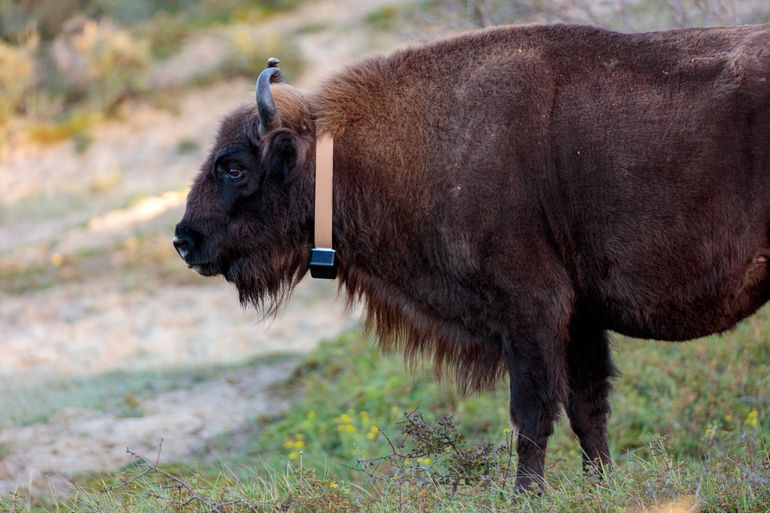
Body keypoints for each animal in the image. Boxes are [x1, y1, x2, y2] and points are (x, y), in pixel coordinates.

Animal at [174, 23, 768, 488]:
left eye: (233, 166)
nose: (184, 240)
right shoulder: (579, 317)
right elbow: (587, 407)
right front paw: (600, 485)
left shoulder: (532, 310)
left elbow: (532, 412)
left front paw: (526, 493)